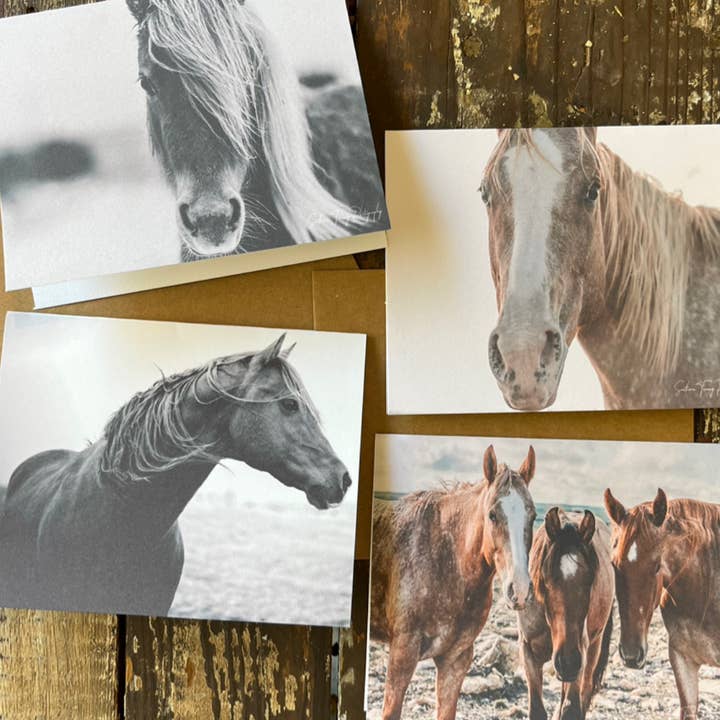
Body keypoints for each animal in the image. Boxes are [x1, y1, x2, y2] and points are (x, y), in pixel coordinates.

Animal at [519, 508, 614, 720]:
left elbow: (572, 709)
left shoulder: (580, 652)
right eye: (546, 579)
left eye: (590, 579)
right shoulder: (528, 651)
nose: (568, 662)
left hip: (593, 647)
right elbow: (537, 710)